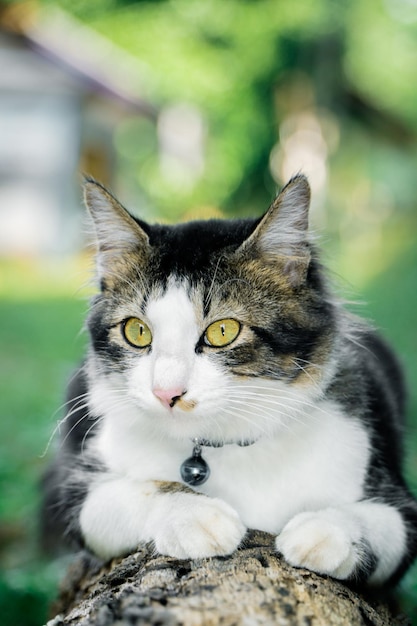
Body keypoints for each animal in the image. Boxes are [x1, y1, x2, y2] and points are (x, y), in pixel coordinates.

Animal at [41, 173, 416, 584]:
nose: (166, 393)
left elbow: (376, 521)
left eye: (223, 331)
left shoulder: (398, 502)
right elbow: (133, 491)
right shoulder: (74, 494)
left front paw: (322, 531)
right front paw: (196, 514)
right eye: (137, 331)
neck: (226, 445)